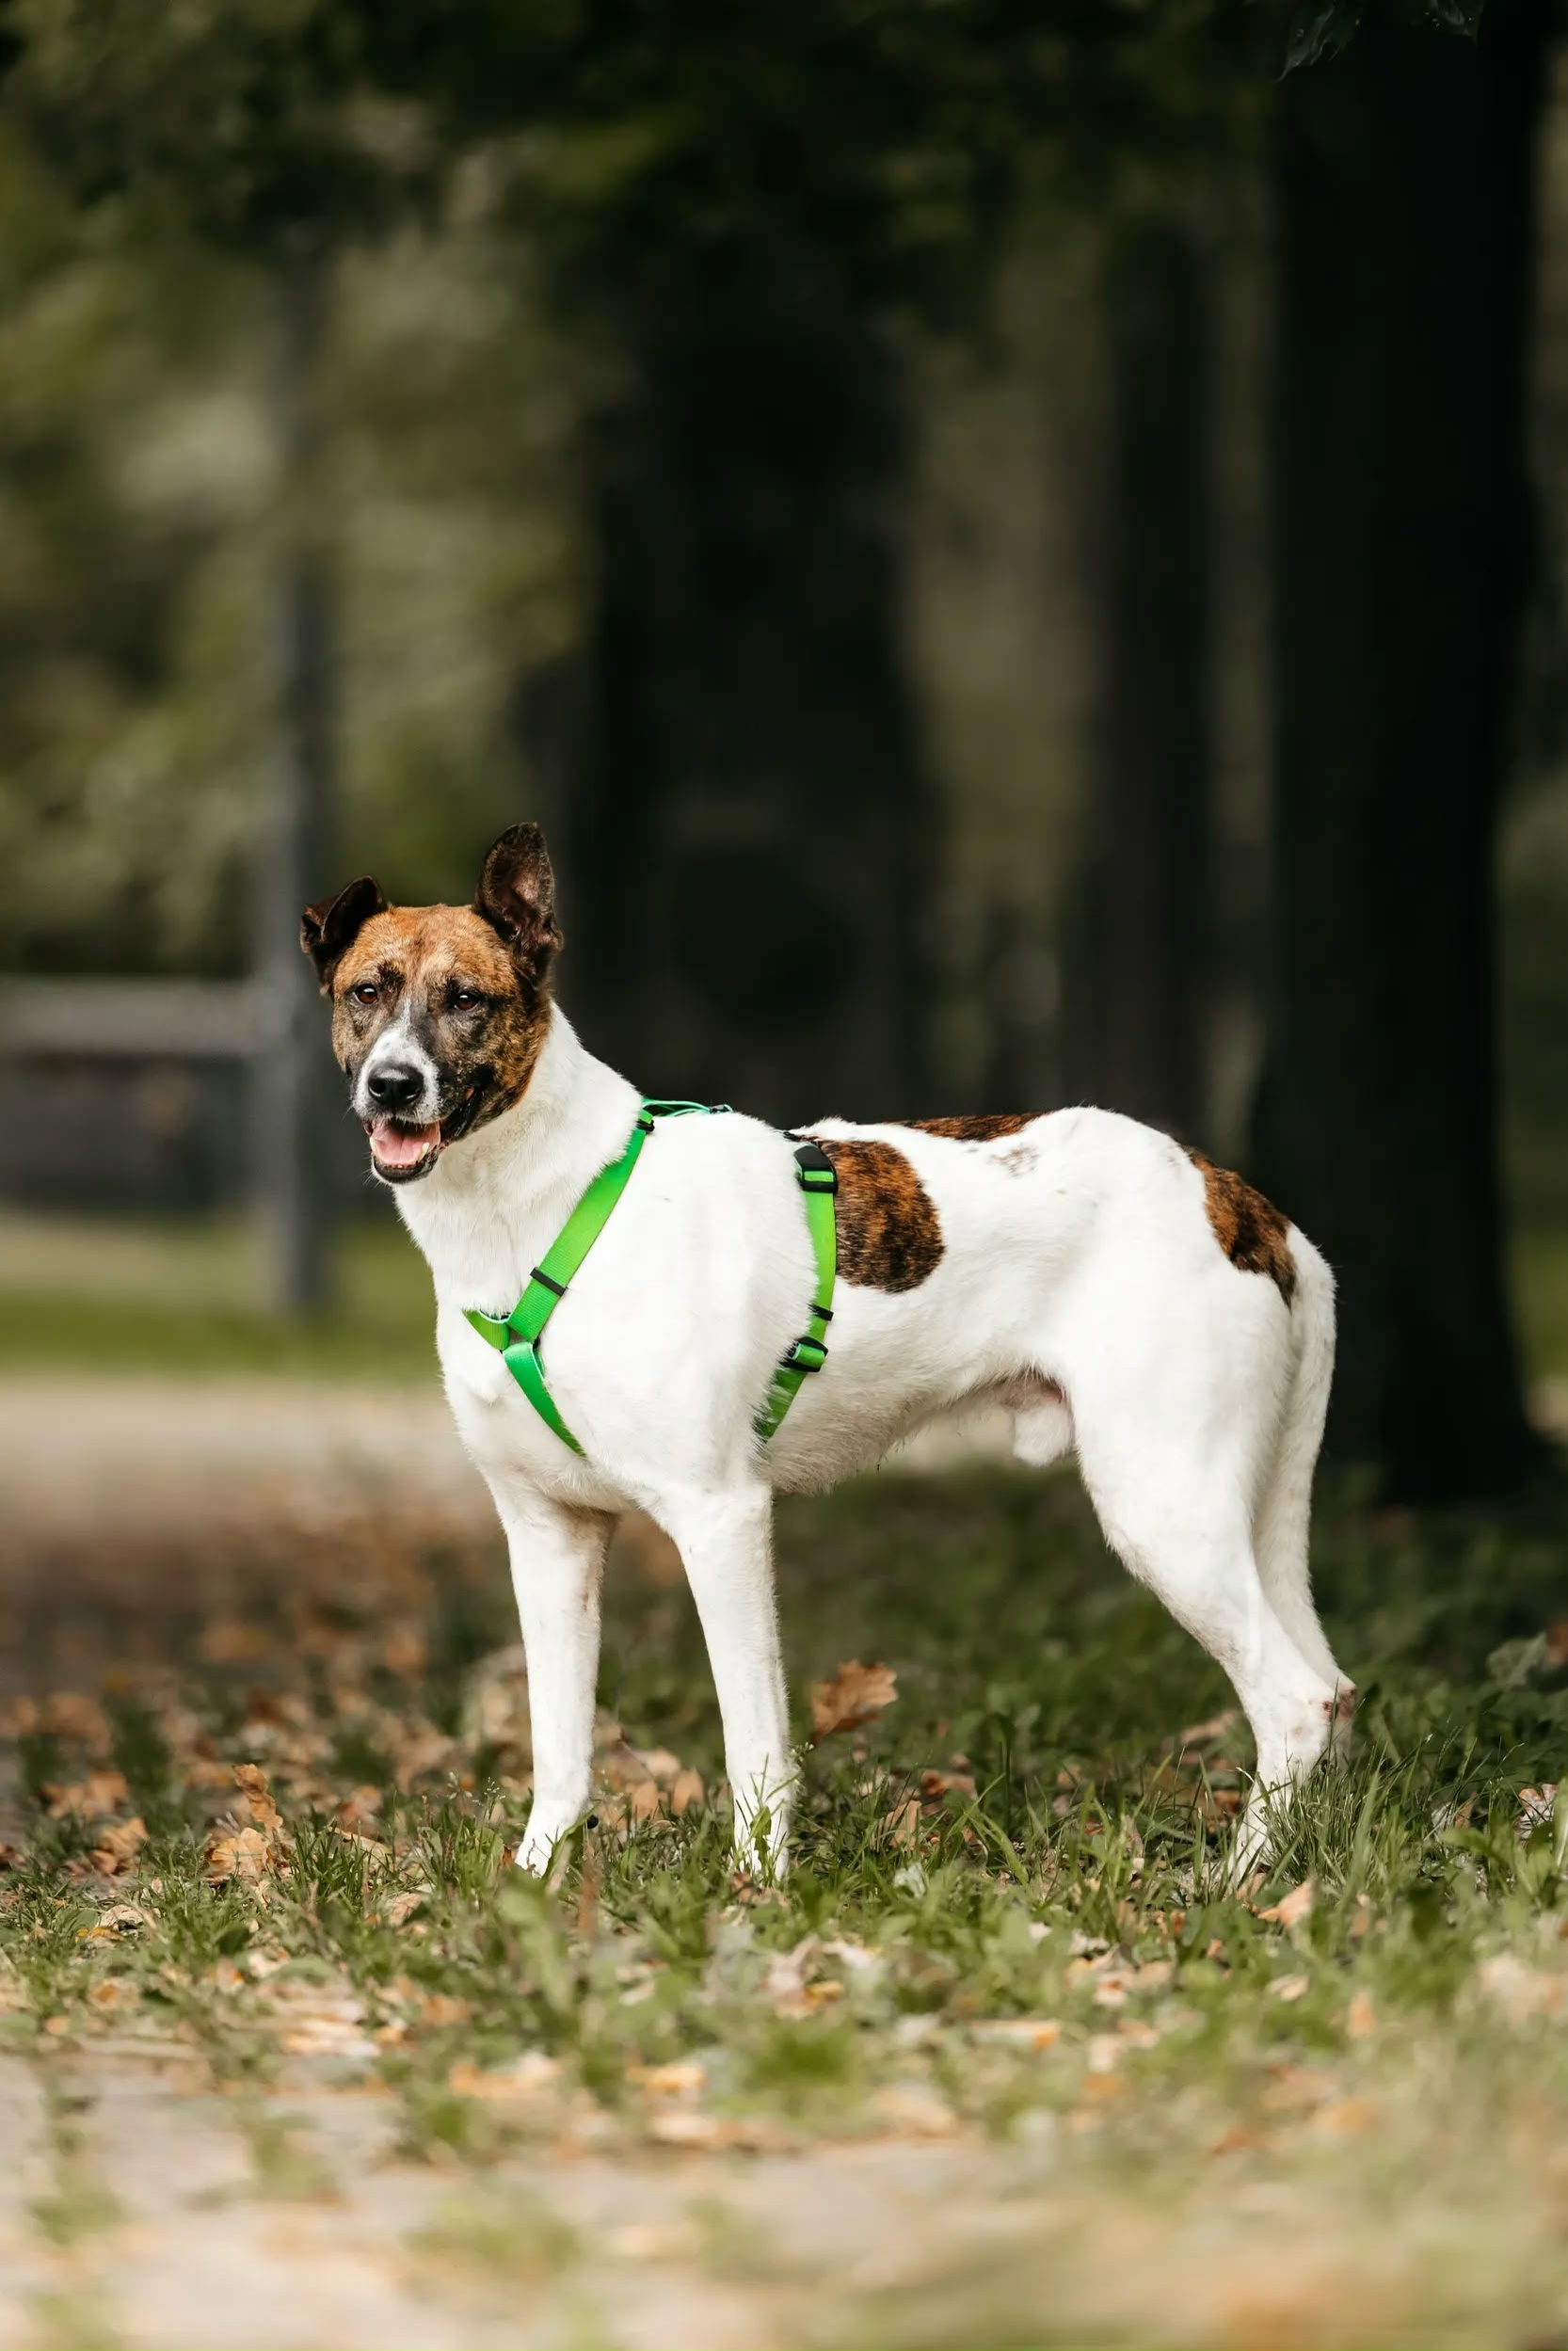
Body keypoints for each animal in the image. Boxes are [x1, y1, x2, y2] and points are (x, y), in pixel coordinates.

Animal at [303, 822, 1351, 1876]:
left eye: (464, 1000)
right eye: (366, 991)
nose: (392, 1085)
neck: (542, 1203)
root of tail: (1248, 1204)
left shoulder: (719, 1517)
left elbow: (753, 1742)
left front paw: (756, 1886)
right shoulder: (549, 1533)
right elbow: (559, 1745)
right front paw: (534, 1881)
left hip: (1164, 1507)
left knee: (1295, 1702)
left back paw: (1236, 1882)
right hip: (1230, 1514)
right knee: (1331, 1691)